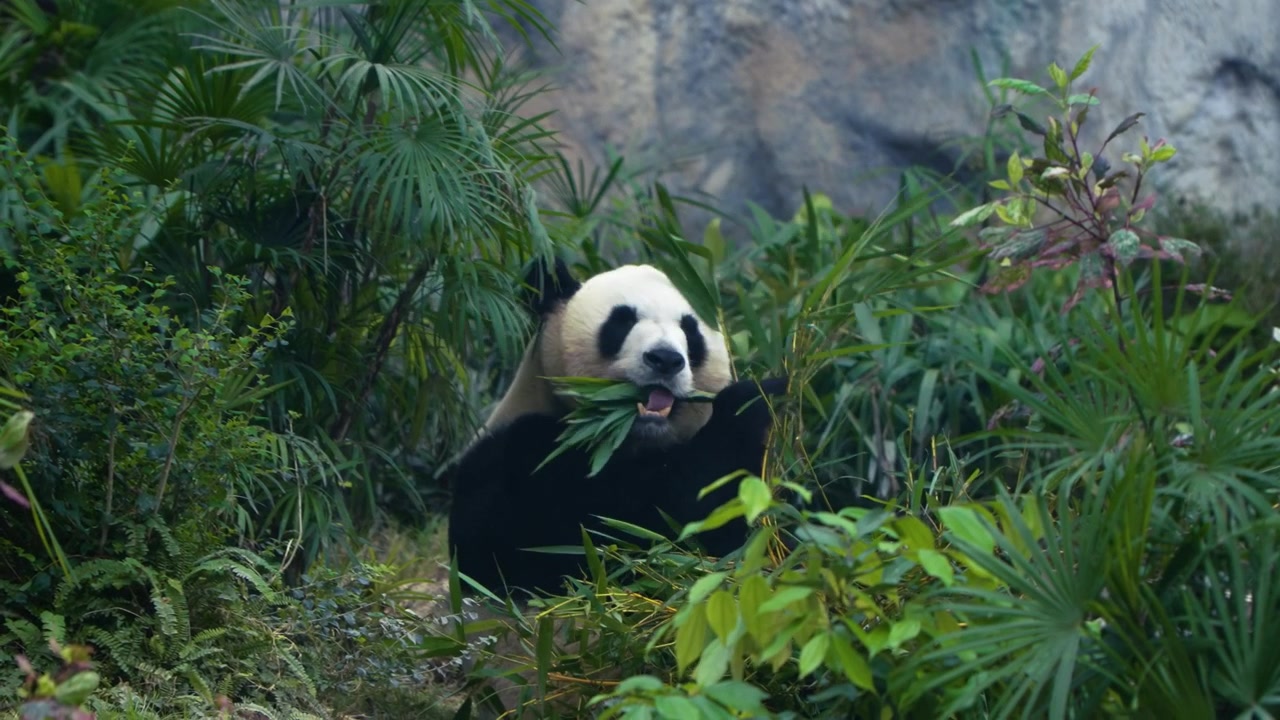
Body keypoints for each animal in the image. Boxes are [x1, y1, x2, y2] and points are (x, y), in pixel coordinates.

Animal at [447, 257, 786, 596]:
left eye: (691, 332)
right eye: (621, 321)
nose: (665, 359)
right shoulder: (518, 453)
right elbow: (614, 528)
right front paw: (751, 402)